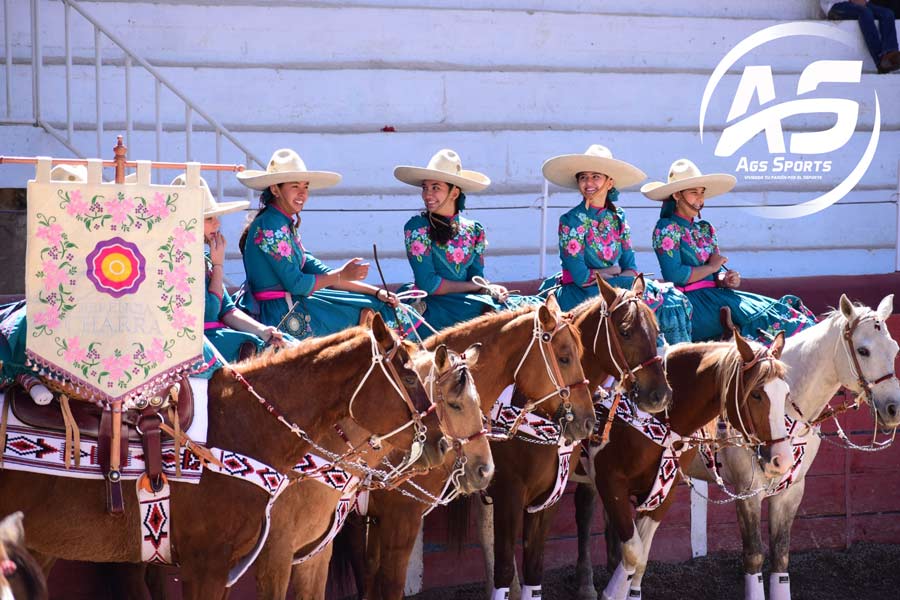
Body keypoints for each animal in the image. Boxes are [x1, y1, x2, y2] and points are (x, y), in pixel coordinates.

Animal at [576, 332, 796, 600]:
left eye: (786, 394)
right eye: (756, 394)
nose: (782, 458)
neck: (662, 416)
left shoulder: (663, 493)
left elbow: (641, 557)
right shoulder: (611, 483)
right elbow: (633, 553)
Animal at [676, 296, 900, 600]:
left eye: (895, 349)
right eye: (863, 350)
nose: (893, 409)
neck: (785, 408)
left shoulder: (791, 490)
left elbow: (780, 555)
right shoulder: (747, 492)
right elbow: (754, 556)